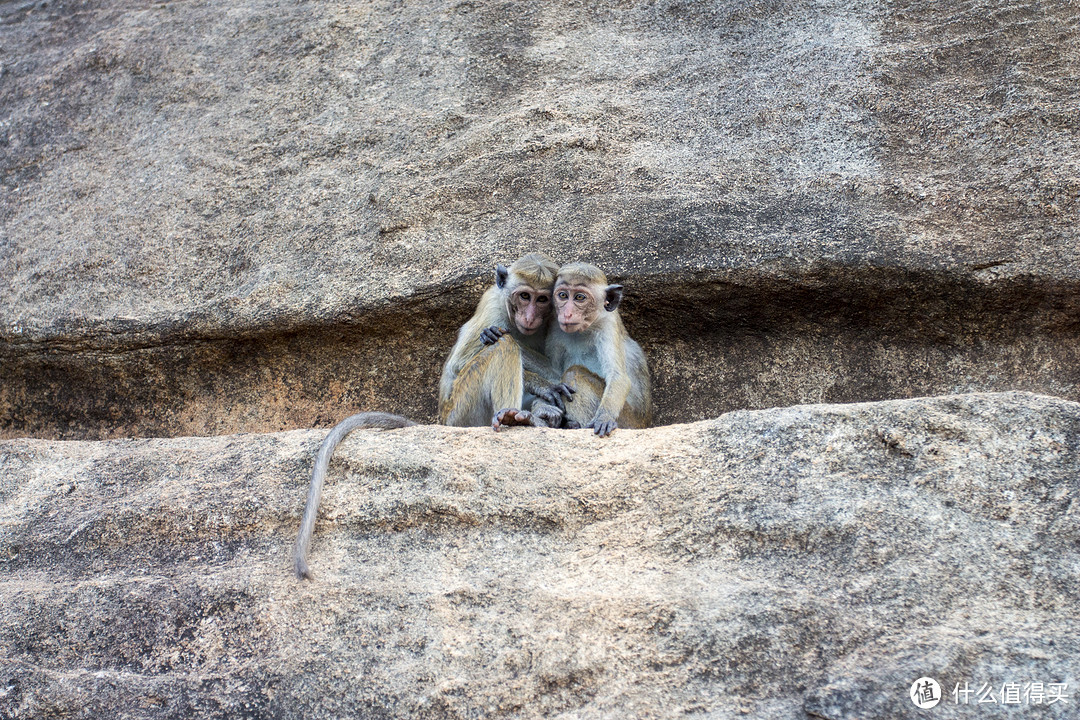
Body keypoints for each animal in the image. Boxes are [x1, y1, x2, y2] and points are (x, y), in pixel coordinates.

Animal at [291, 253, 570, 578]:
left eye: (542, 299)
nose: (530, 317)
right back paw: (516, 417)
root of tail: (441, 420)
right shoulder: (495, 309)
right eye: (524, 296)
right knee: (502, 346)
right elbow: (464, 361)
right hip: (462, 412)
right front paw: (545, 388)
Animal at [494, 262, 652, 436]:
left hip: (628, 421)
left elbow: (618, 377)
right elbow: (555, 372)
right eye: (563, 295)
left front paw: (604, 417)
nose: (567, 314)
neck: (583, 330)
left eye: (580, 297)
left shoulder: (608, 325)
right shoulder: (556, 325)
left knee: (574, 373)